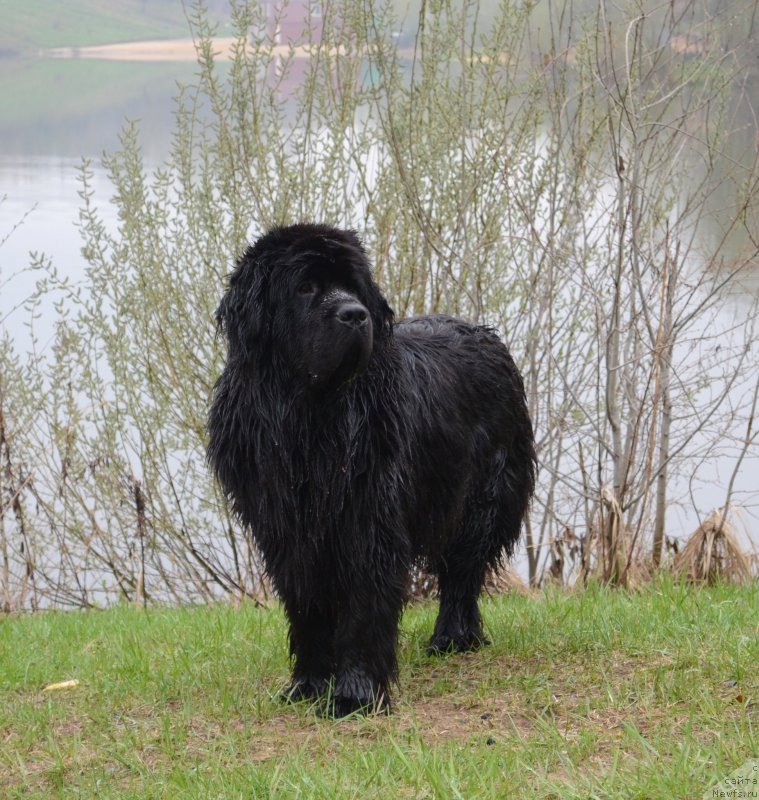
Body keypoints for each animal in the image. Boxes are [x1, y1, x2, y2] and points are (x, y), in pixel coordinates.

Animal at [206, 222, 536, 716]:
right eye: (305, 287)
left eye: (354, 286)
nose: (355, 315)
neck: (309, 418)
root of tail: (486, 335)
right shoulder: (286, 530)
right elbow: (307, 608)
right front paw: (308, 684)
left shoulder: (368, 519)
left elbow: (363, 608)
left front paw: (354, 695)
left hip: (486, 495)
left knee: (462, 572)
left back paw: (452, 638)